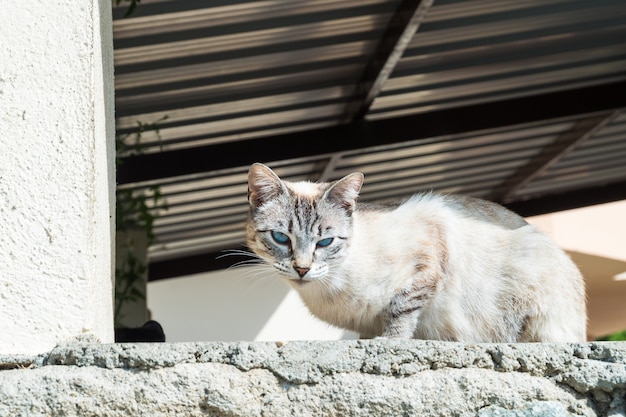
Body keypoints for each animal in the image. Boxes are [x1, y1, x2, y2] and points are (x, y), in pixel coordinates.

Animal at [244, 162, 584, 342]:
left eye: (325, 243)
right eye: (280, 238)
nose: (302, 269)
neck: (327, 292)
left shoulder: (429, 248)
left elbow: (401, 309)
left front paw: (389, 341)